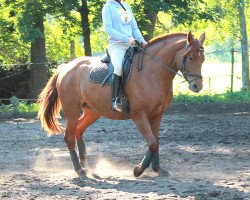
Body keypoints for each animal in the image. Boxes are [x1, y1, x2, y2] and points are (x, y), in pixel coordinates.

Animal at [37, 32, 205, 179]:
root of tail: (66, 67)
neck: (152, 72)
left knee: (78, 131)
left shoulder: (157, 115)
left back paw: (85, 166)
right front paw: (138, 170)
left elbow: (156, 142)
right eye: (190, 58)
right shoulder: (139, 116)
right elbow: (152, 143)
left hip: (92, 112)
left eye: (202, 59)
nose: (197, 86)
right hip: (71, 110)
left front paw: (158, 169)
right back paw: (80, 171)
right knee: (69, 137)